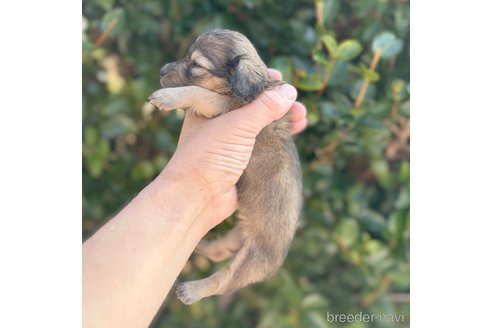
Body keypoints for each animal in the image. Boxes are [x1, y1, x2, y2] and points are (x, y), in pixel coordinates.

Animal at [149, 28, 304, 304]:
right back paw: (200, 245)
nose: (161, 70)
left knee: (224, 281)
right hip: (237, 235)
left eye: (196, 64)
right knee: (219, 252)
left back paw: (193, 290)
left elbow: (199, 93)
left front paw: (168, 98)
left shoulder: (224, 106)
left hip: (252, 259)